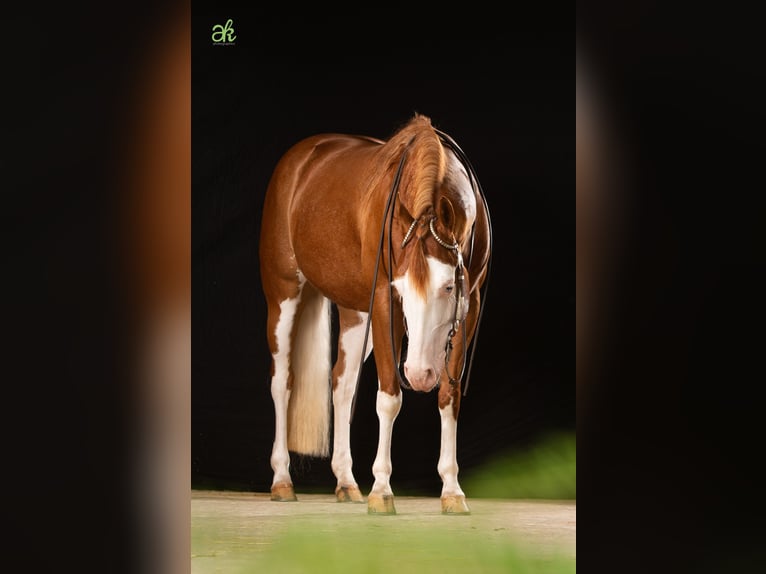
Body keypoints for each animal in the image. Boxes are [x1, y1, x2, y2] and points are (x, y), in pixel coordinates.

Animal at [259, 114, 492, 514]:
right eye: (401, 291)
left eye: (448, 287)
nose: (419, 374)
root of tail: (299, 159)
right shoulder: (385, 301)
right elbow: (389, 397)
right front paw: (382, 490)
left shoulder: (470, 304)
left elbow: (450, 396)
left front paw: (452, 490)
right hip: (284, 297)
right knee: (282, 382)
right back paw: (282, 481)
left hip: (357, 315)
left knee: (341, 384)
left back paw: (346, 482)